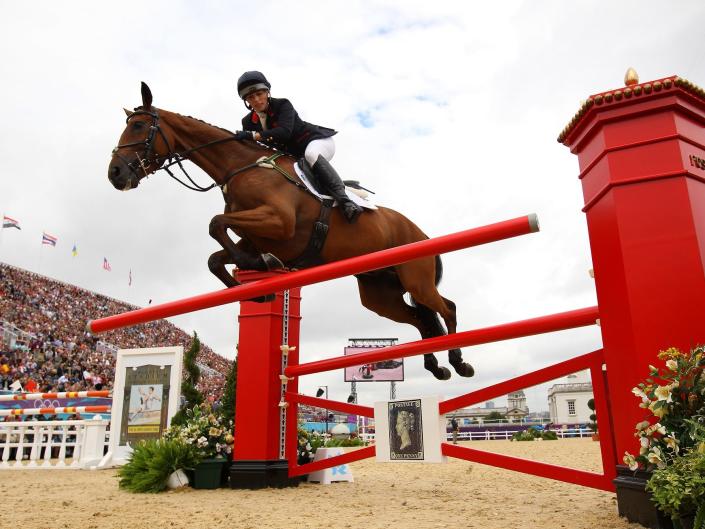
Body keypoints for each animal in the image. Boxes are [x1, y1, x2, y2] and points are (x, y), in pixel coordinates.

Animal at [106, 82, 472, 380]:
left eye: (138, 126)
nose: (115, 174)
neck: (239, 167)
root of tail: (419, 232)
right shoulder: (255, 235)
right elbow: (216, 255)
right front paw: (259, 287)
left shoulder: (278, 222)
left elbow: (215, 224)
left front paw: (263, 268)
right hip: (380, 294)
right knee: (421, 319)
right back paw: (435, 366)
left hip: (416, 278)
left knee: (446, 309)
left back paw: (459, 362)